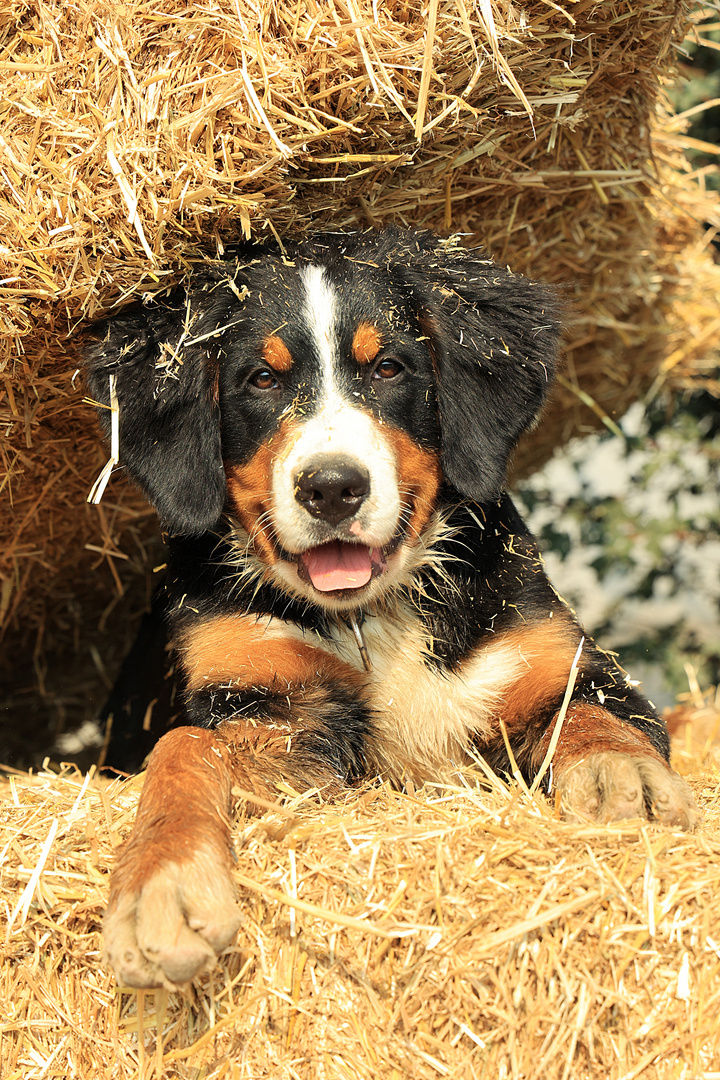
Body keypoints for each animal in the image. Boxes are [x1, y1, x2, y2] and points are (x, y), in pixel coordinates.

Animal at [83, 227, 699, 989]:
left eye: (388, 369)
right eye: (261, 380)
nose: (331, 487)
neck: (374, 616)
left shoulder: (559, 658)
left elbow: (589, 714)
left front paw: (622, 778)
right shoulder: (265, 698)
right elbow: (185, 747)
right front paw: (162, 885)